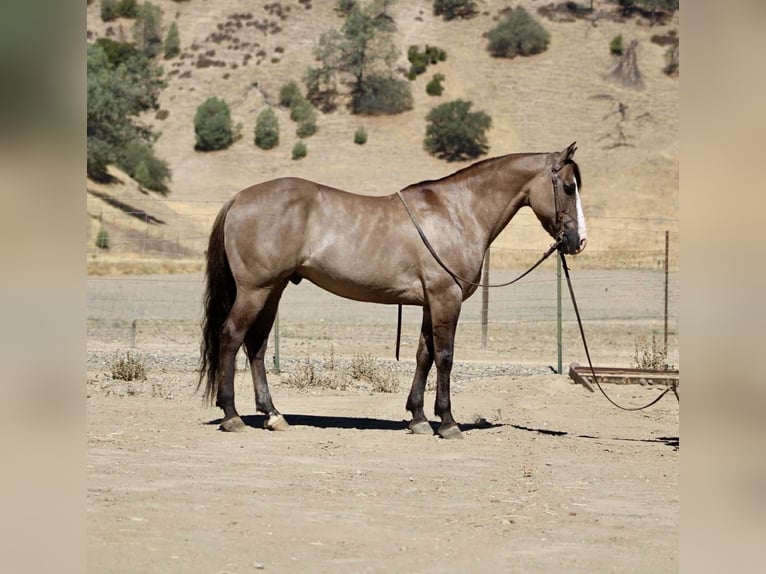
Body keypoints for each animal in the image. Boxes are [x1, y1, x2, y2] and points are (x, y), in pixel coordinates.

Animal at [198, 142, 587, 439]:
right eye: (569, 187)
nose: (578, 241)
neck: (457, 211)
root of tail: (239, 199)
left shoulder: (431, 302)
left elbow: (424, 355)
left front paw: (418, 418)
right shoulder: (446, 298)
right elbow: (445, 357)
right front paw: (448, 423)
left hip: (272, 290)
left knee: (256, 345)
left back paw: (273, 414)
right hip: (256, 290)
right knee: (231, 337)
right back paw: (232, 415)